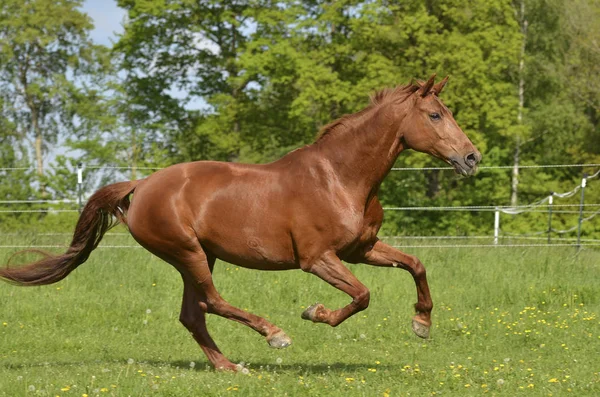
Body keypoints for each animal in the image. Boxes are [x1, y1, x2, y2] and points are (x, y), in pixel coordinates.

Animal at [0, 75, 478, 372]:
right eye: (435, 115)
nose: (471, 157)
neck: (340, 178)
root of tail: (142, 184)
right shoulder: (317, 259)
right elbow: (362, 296)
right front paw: (314, 313)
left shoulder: (361, 250)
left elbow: (415, 265)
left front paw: (421, 324)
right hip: (188, 252)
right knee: (210, 302)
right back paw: (274, 335)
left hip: (200, 256)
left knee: (193, 314)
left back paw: (229, 367)